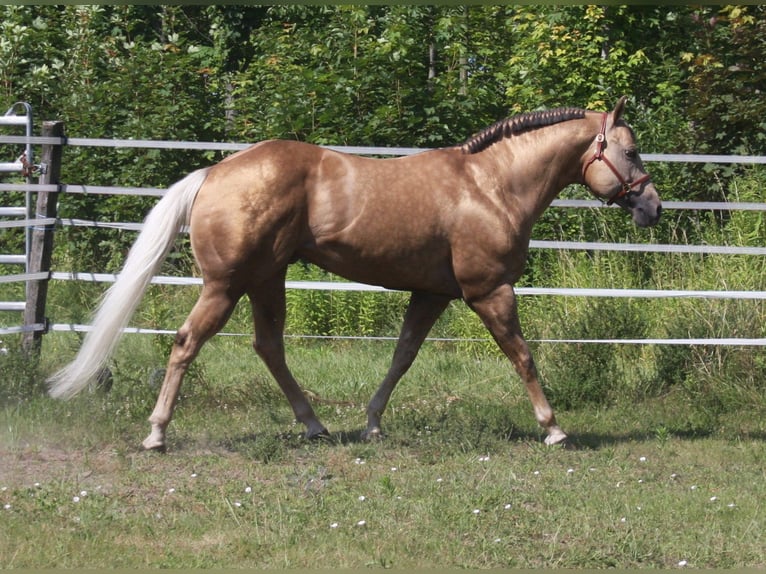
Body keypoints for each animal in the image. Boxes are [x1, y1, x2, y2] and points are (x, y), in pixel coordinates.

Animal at [48, 96, 661, 451]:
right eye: (629, 152)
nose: (652, 207)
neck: (490, 186)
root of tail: (214, 172)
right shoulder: (490, 291)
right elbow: (523, 356)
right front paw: (553, 427)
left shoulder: (431, 294)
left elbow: (402, 358)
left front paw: (371, 425)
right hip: (226, 285)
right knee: (186, 343)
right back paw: (156, 433)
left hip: (266, 280)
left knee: (269, 347)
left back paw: (316, 427)